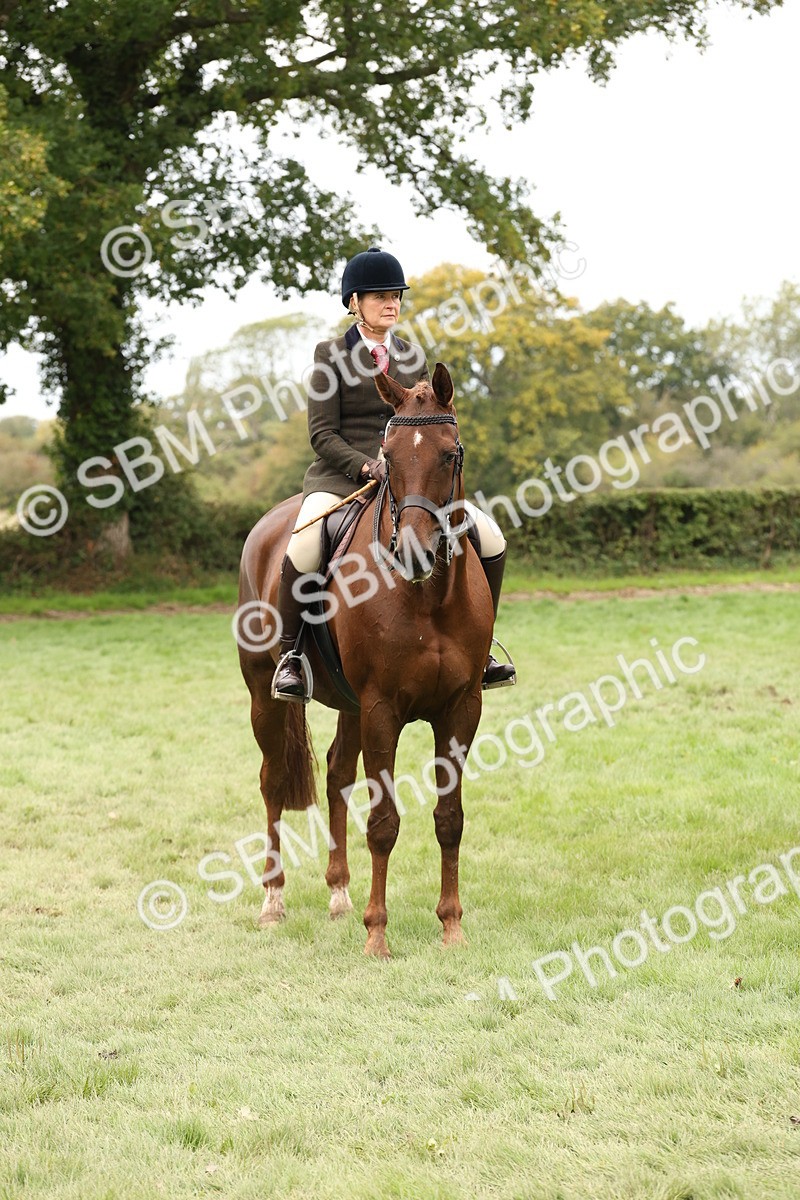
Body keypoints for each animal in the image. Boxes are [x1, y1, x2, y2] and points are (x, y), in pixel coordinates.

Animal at [236, 363, 494, 957]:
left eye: (450, 454)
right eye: (389, 456)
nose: (415, 554)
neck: (429, 597)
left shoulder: (461, 708)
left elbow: (449, 819)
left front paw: (452, 926)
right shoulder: (382, 709)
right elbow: (383, 822)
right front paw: (378, 935)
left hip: (350, 704)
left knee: (335, 774)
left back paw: (338, 893)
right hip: (266, 695)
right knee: (272, 781)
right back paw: (273, 902)